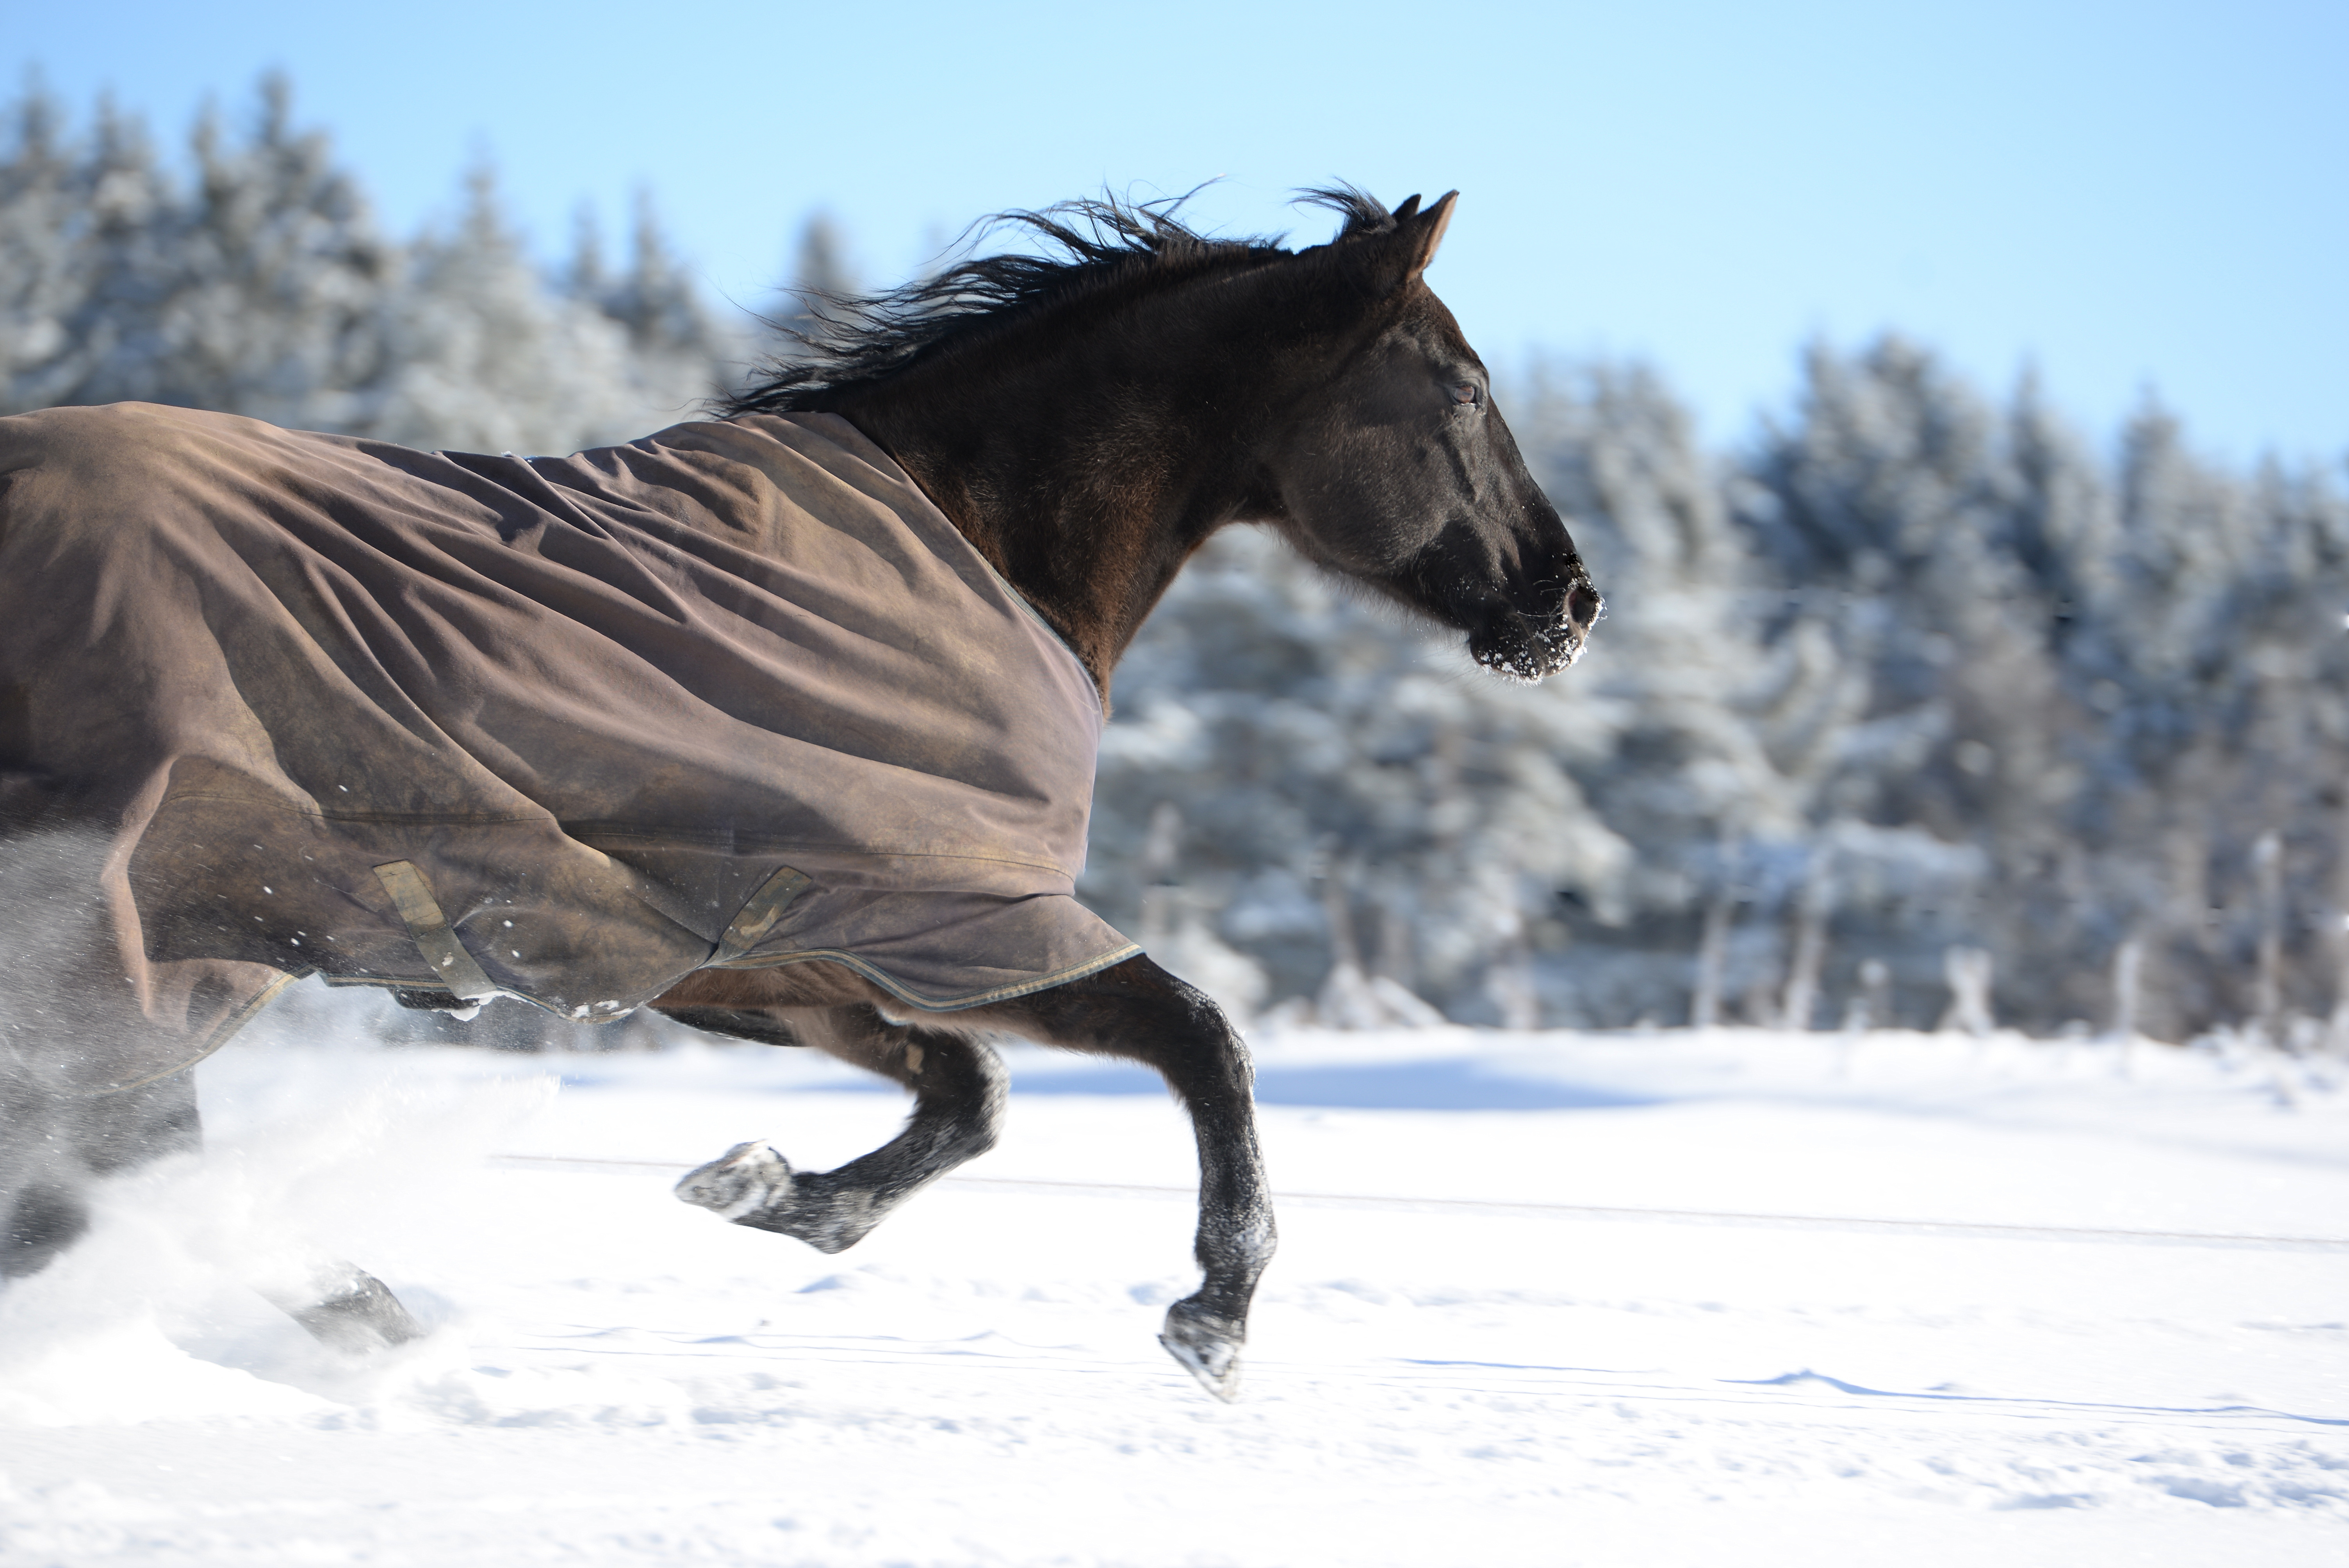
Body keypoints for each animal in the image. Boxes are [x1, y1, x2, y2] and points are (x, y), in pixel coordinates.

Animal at [0, 184, 1597, 1399]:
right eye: (1463, 389)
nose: (1568, 603)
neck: (966, 546)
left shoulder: (756, 948)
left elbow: (969, 1090)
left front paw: (771, 1189)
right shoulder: (959, 917)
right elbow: (1201, 1039)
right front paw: (1216, 1316)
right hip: (157, 928)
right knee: (114, 1166)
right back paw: (371, 1335)